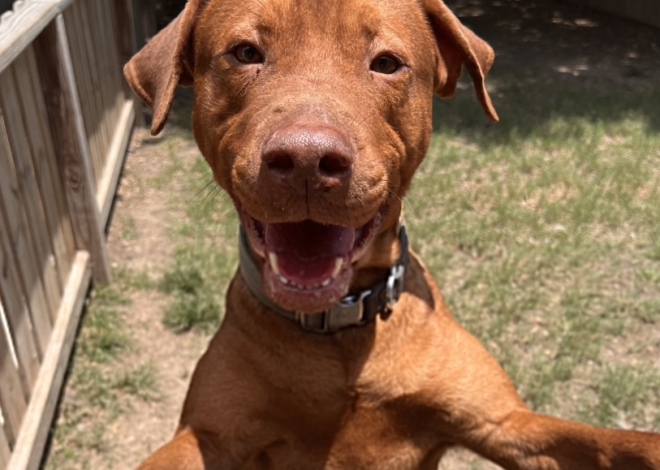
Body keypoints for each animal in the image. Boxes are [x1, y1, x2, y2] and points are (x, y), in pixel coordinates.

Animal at [122, 0, 660, 466]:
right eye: (245, 53)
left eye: (386, 63)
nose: (306, 160)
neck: (342, 328)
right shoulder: (209, 436)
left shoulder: (504, 424)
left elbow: (621, 442)